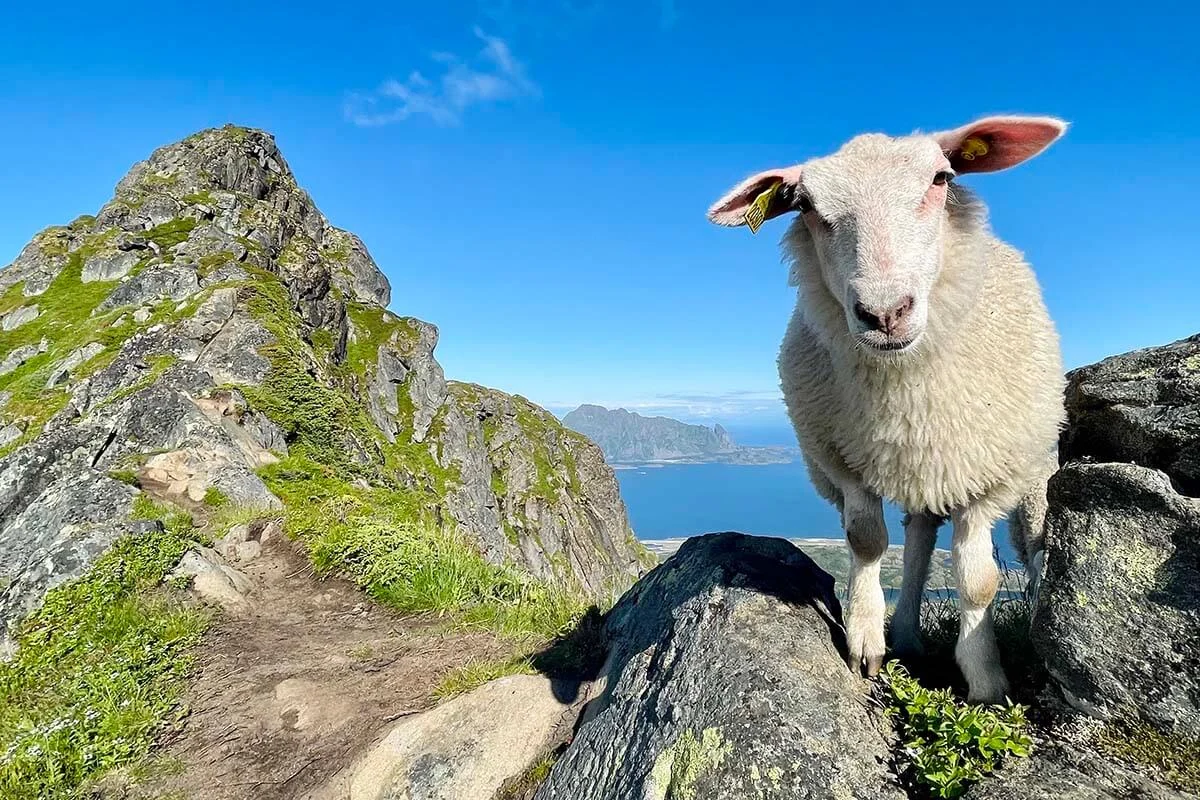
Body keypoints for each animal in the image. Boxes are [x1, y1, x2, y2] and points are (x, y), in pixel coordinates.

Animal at [705, 115, 1065, 705]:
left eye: (942, 178)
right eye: (805, 204)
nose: (884, 313)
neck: (905, 393)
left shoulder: (989, 480)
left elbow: (978, 581)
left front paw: (987, 680)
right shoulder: (841, 461)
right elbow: (868, 542)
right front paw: (867, 642)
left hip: (1030, 474)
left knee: (1033, 547)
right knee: (918, 536)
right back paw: (907, 633)